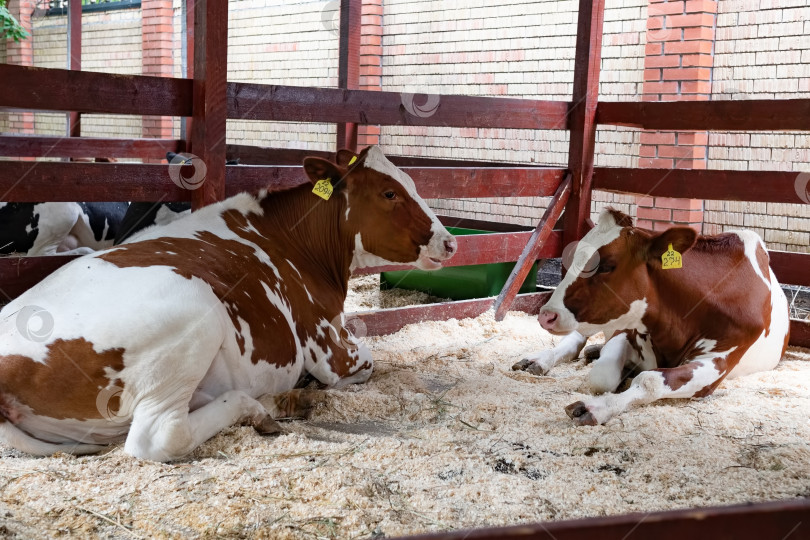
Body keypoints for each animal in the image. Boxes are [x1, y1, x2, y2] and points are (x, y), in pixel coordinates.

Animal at [0, 147, 454, 460]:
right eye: (389, 192)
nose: (449, 242)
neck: (293, 240)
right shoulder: (329, 349)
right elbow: (368, 358)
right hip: (196, 317)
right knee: (160, 436)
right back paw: (258, 405)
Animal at [512, 209, 788, 424]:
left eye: (606, 266)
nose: (547, 315)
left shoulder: (719, 361)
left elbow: (650, 379)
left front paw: (596, 407)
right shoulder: (626, 330)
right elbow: (602, 377)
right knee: (575, 339)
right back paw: (539, 360)